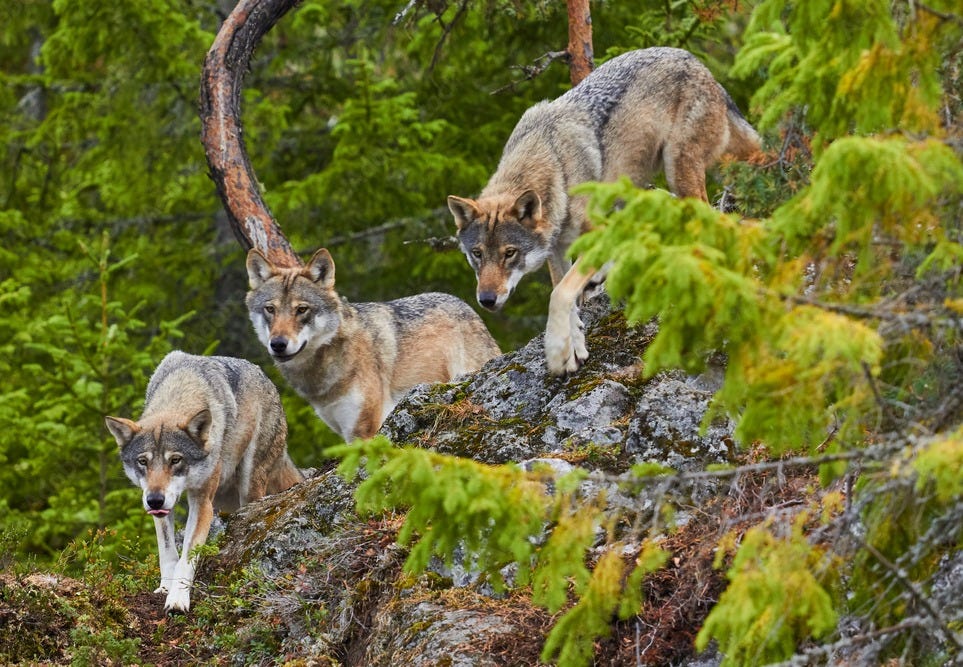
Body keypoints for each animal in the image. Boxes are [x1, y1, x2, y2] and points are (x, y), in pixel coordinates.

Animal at [105, 350, 303, 613]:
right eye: (143, 462)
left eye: (176, 460)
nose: (155, 500)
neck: (182, 389)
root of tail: (270, 382)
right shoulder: (163, 510)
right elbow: (168, 553)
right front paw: (165, 588)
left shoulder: (202, 503)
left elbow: (187, 557)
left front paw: (178, 599)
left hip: (248, 486)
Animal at [447, 47, 760, 375]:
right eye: (477, 254)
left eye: (509, 253)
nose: (486, 300)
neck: (554, 166)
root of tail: (695, 61)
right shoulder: (557, 249)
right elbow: (565, 294)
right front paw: (573, 349)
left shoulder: (590, 234)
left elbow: (558, 295)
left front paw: (556, 350)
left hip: (678, 172)